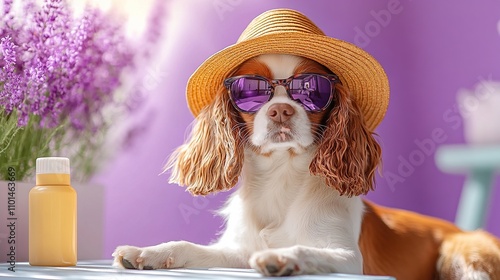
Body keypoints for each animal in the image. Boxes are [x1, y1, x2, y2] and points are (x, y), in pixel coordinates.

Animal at [113, 53, 500, 278]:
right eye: (251, 90)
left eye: (311, 90)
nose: (281, 110)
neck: (281, 178)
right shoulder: (237, 252)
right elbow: (190, 248)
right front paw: (147, 252)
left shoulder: (349, 259)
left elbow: (306, 249)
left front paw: (282, 257)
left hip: (463, 256)